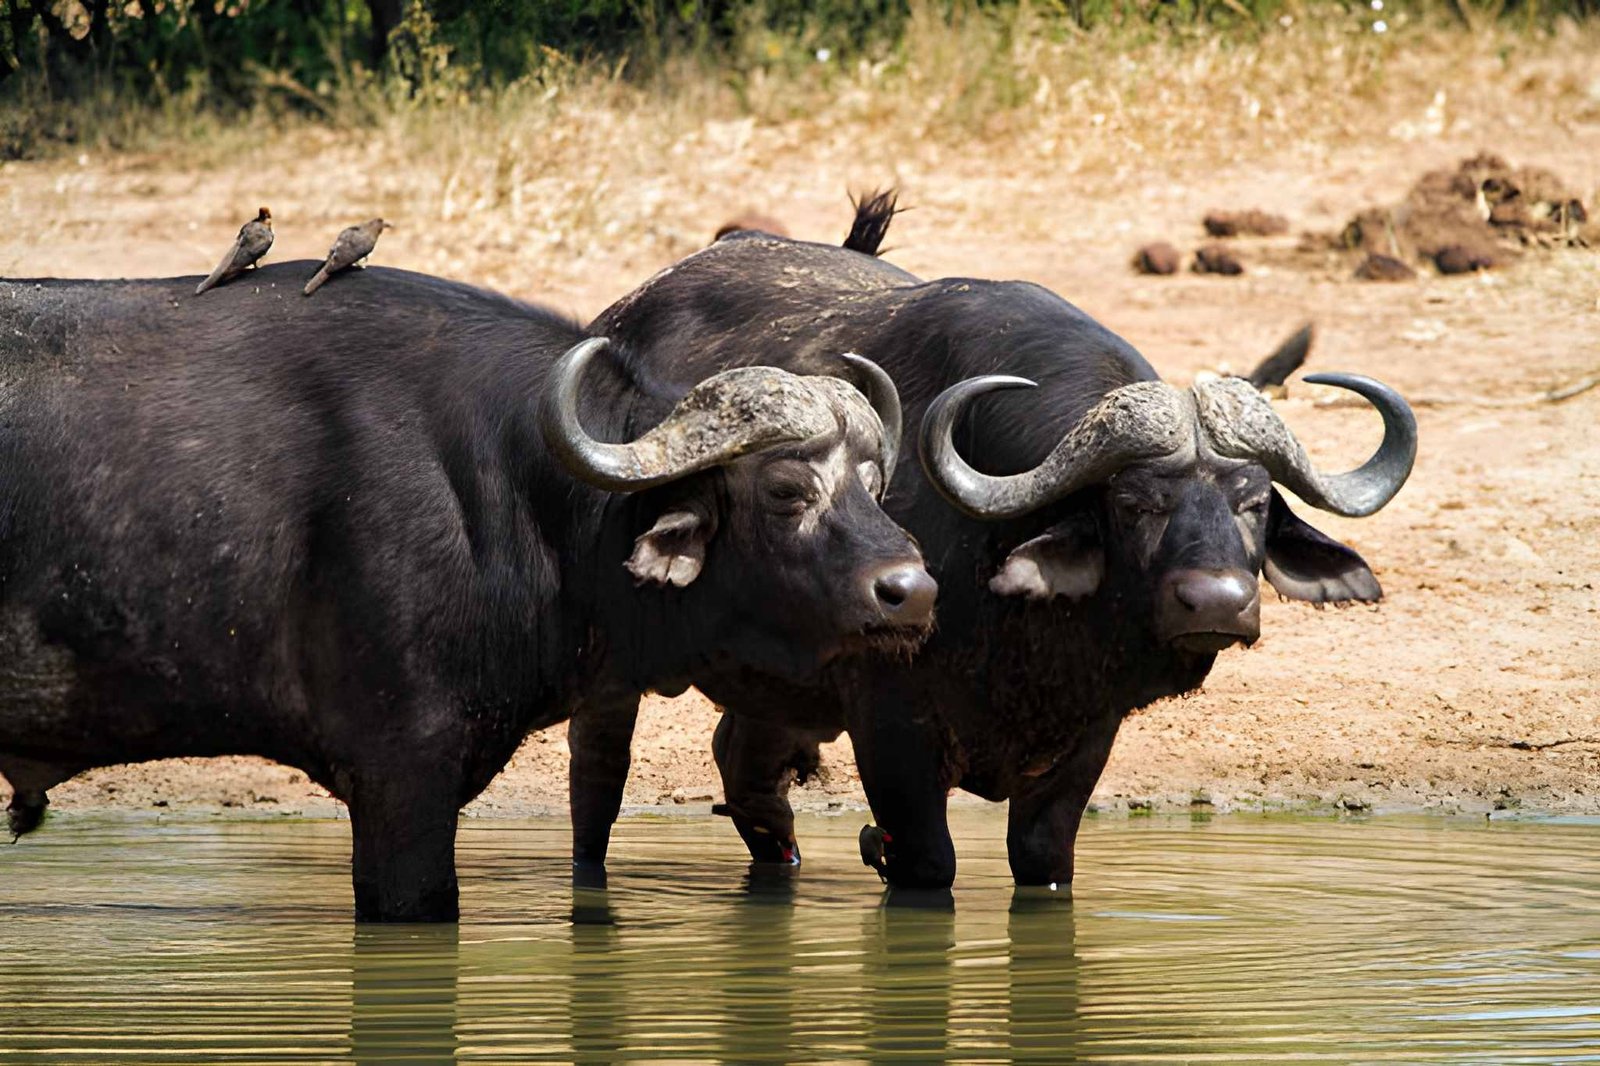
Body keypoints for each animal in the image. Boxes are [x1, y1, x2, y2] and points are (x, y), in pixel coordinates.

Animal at [584, 198, 1416, 890]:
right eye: (1133, 503)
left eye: (1254, 505)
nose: (1216, 602)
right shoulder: (890, 725)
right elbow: (927, 861)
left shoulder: (1088, 737)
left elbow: (1043, 858)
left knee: (747, 771)